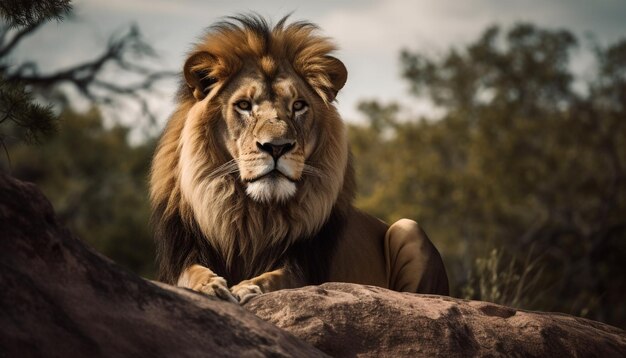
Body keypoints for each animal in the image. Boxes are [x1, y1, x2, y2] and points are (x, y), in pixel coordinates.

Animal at [149, 15, 446, 304]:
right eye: (244, 105)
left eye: (298, 105)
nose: (276, 147)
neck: (254, 214)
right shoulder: (181, 257)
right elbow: (190, 274)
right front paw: (210, 286)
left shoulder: (305, 268)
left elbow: (275, 278)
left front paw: (247, 288)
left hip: (409, 228)